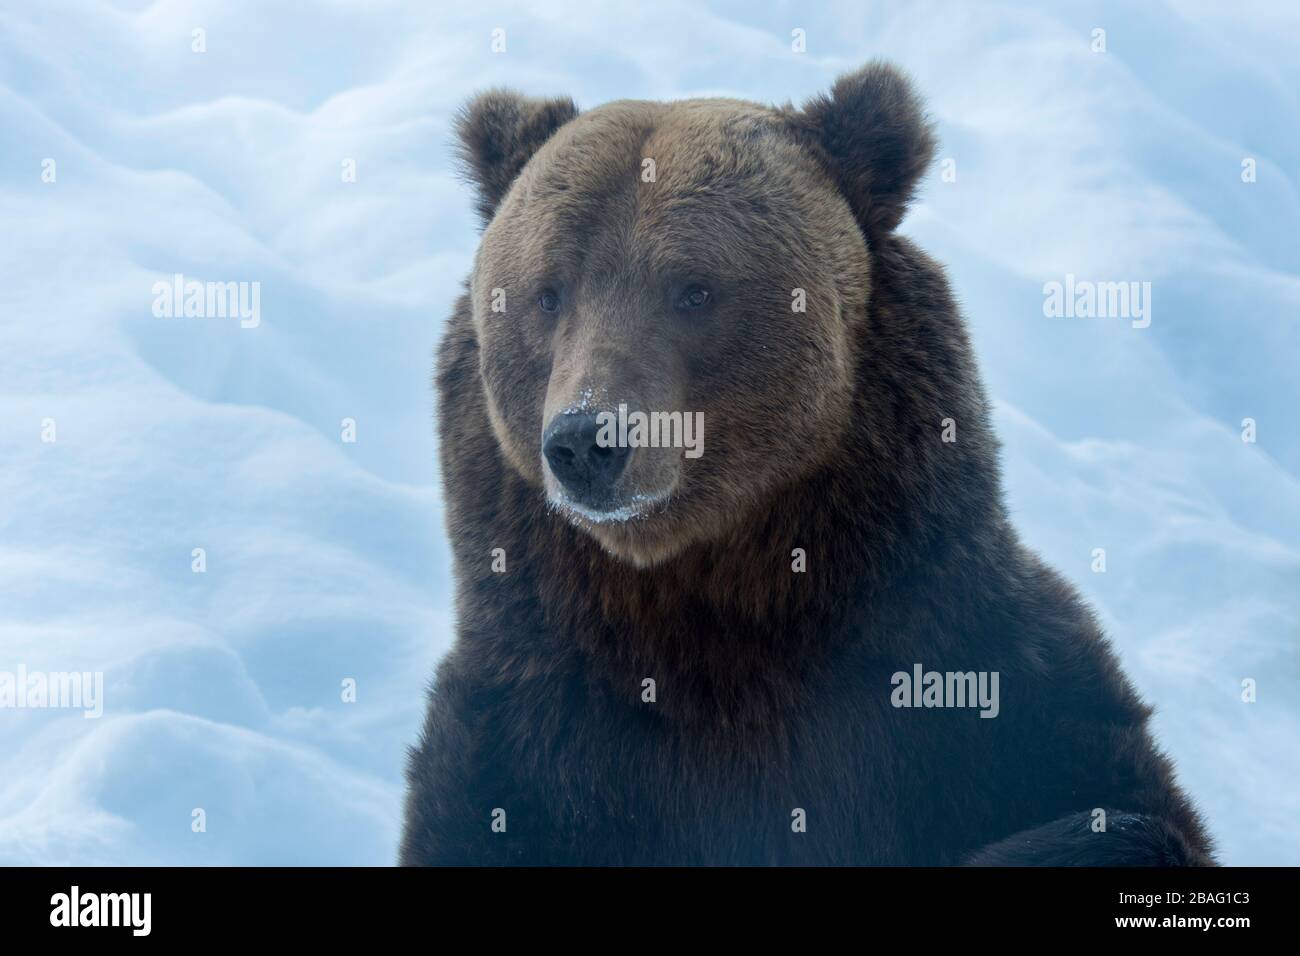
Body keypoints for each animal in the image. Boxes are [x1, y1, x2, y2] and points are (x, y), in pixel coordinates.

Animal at [400, 61, 1214, 866]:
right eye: (548, 292)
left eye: (693, 288)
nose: (586, 439)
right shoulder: (524, 730)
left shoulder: (971, 666)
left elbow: (1119, 807)